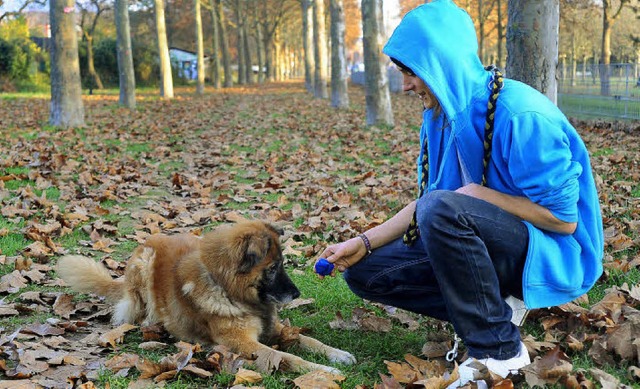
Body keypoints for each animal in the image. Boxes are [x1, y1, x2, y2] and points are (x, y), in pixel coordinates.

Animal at [56, 220, 356, 372]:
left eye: (283, 264)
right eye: (272, 268)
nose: (297, 293)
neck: (227, 287)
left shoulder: (276, 329)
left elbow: (310, 340)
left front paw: (338, 355)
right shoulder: (241, 343)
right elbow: (286, 357)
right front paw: (325, 371)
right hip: (144, 265)